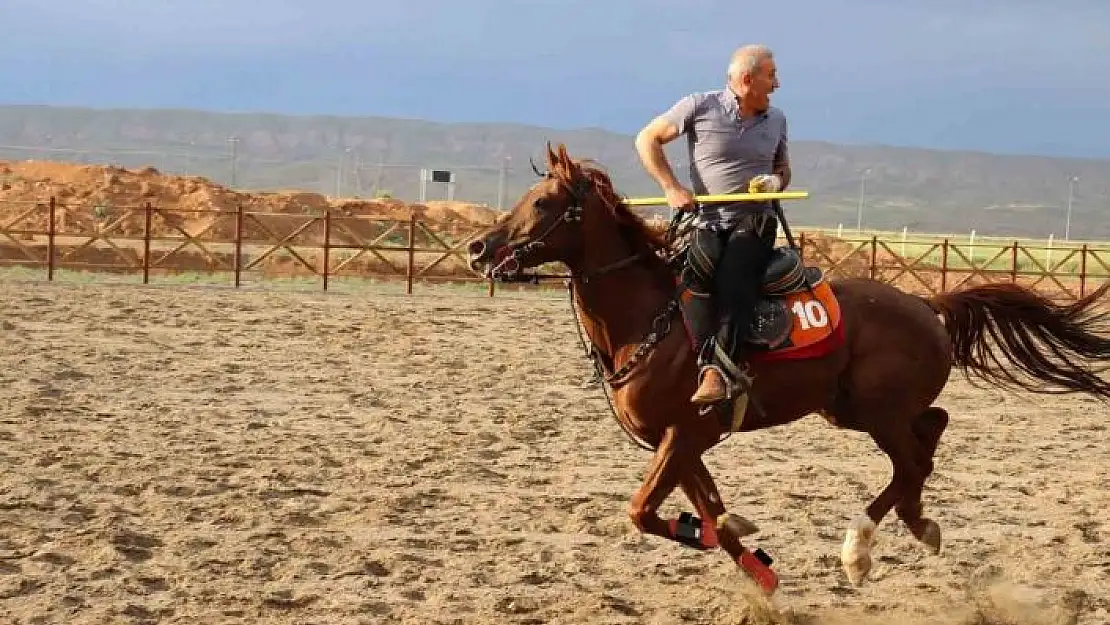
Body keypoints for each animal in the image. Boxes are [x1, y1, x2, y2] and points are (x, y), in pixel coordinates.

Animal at [463, 143, 1105, 595]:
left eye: (542, 204)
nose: (476, 248)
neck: (652, 318)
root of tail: (927, 304)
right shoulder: (687, 443)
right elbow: (709, 509)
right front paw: (751, 562)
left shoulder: (683, 434)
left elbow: (645, 510)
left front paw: (724, 540)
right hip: (850, 409)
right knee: (931, 433)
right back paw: (918, 523)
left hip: (877, 412)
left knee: (913, 460)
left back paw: (859, 548)